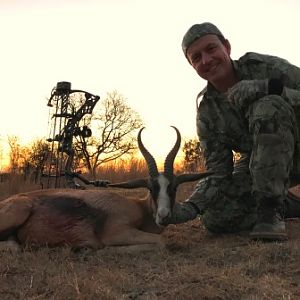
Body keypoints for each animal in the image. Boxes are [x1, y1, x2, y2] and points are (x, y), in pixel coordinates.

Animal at [0, 126, 209, 251]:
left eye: (173, 188)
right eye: (151, 188)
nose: (163, 216)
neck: (138, 208)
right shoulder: (116, 233)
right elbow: (160, 242)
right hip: (20, 209)